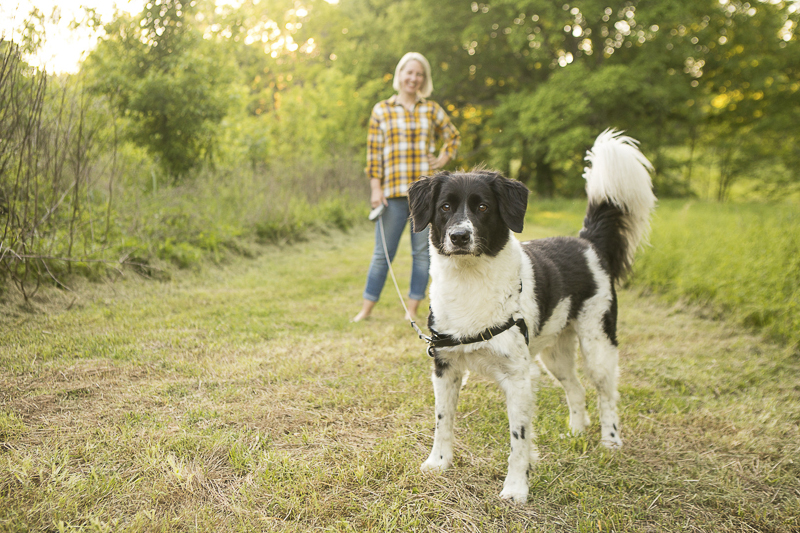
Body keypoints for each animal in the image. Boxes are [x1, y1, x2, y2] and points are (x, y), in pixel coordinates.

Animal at [406, 129, 656, 502]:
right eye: (444, 207)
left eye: (483, 207)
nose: (459, 236)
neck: (470, 281)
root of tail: (587, 242)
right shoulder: (445, 367)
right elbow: (442, 421)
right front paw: (438, 463)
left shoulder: (519, 377)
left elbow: (519, 439)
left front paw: (515, 487)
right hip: (555, 354)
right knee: (576, 390)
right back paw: (576, 432)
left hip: (598, 345)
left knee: (606, 395)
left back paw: (610, 441)